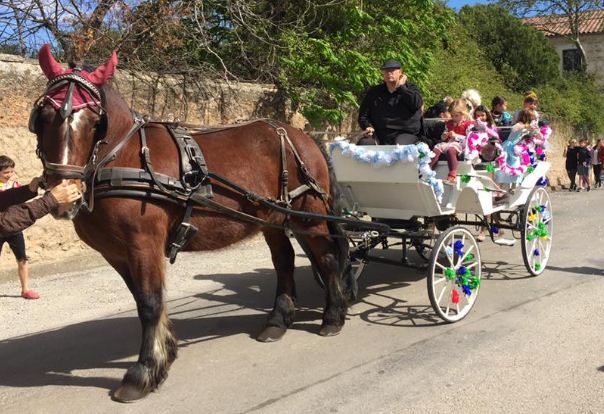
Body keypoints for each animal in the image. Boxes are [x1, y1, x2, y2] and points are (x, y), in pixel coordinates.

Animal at [30, 44, 352, 402]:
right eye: (43, 117)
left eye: (94, 122)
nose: (64, 193)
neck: (122, 156)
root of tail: (303, 136)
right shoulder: (116, 253)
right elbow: (142, 299)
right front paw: (165, 353)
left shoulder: (144, 244)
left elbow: (150, 303)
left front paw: (144, 372)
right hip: (273, 217)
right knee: (284, 261)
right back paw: (277, 322)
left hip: (309, 215)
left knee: (327, 259)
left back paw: (333, 317)